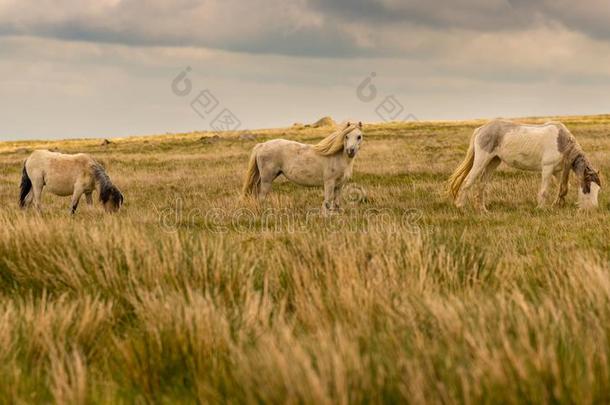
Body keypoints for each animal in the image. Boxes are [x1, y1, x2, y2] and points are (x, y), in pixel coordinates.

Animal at [446, 118, 600, 210]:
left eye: (598, 189)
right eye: (588, 187)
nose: (594, 208)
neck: (561, 142)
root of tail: (481, 129)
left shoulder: (557, 171)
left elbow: (562, 188)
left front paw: (557, 204)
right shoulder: (547, 169)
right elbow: (544, 191)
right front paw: (541, 209)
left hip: (493, 162)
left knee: (482, 185)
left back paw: (483, 210)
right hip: (481, 161)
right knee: (468, 181)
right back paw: (460, 206)